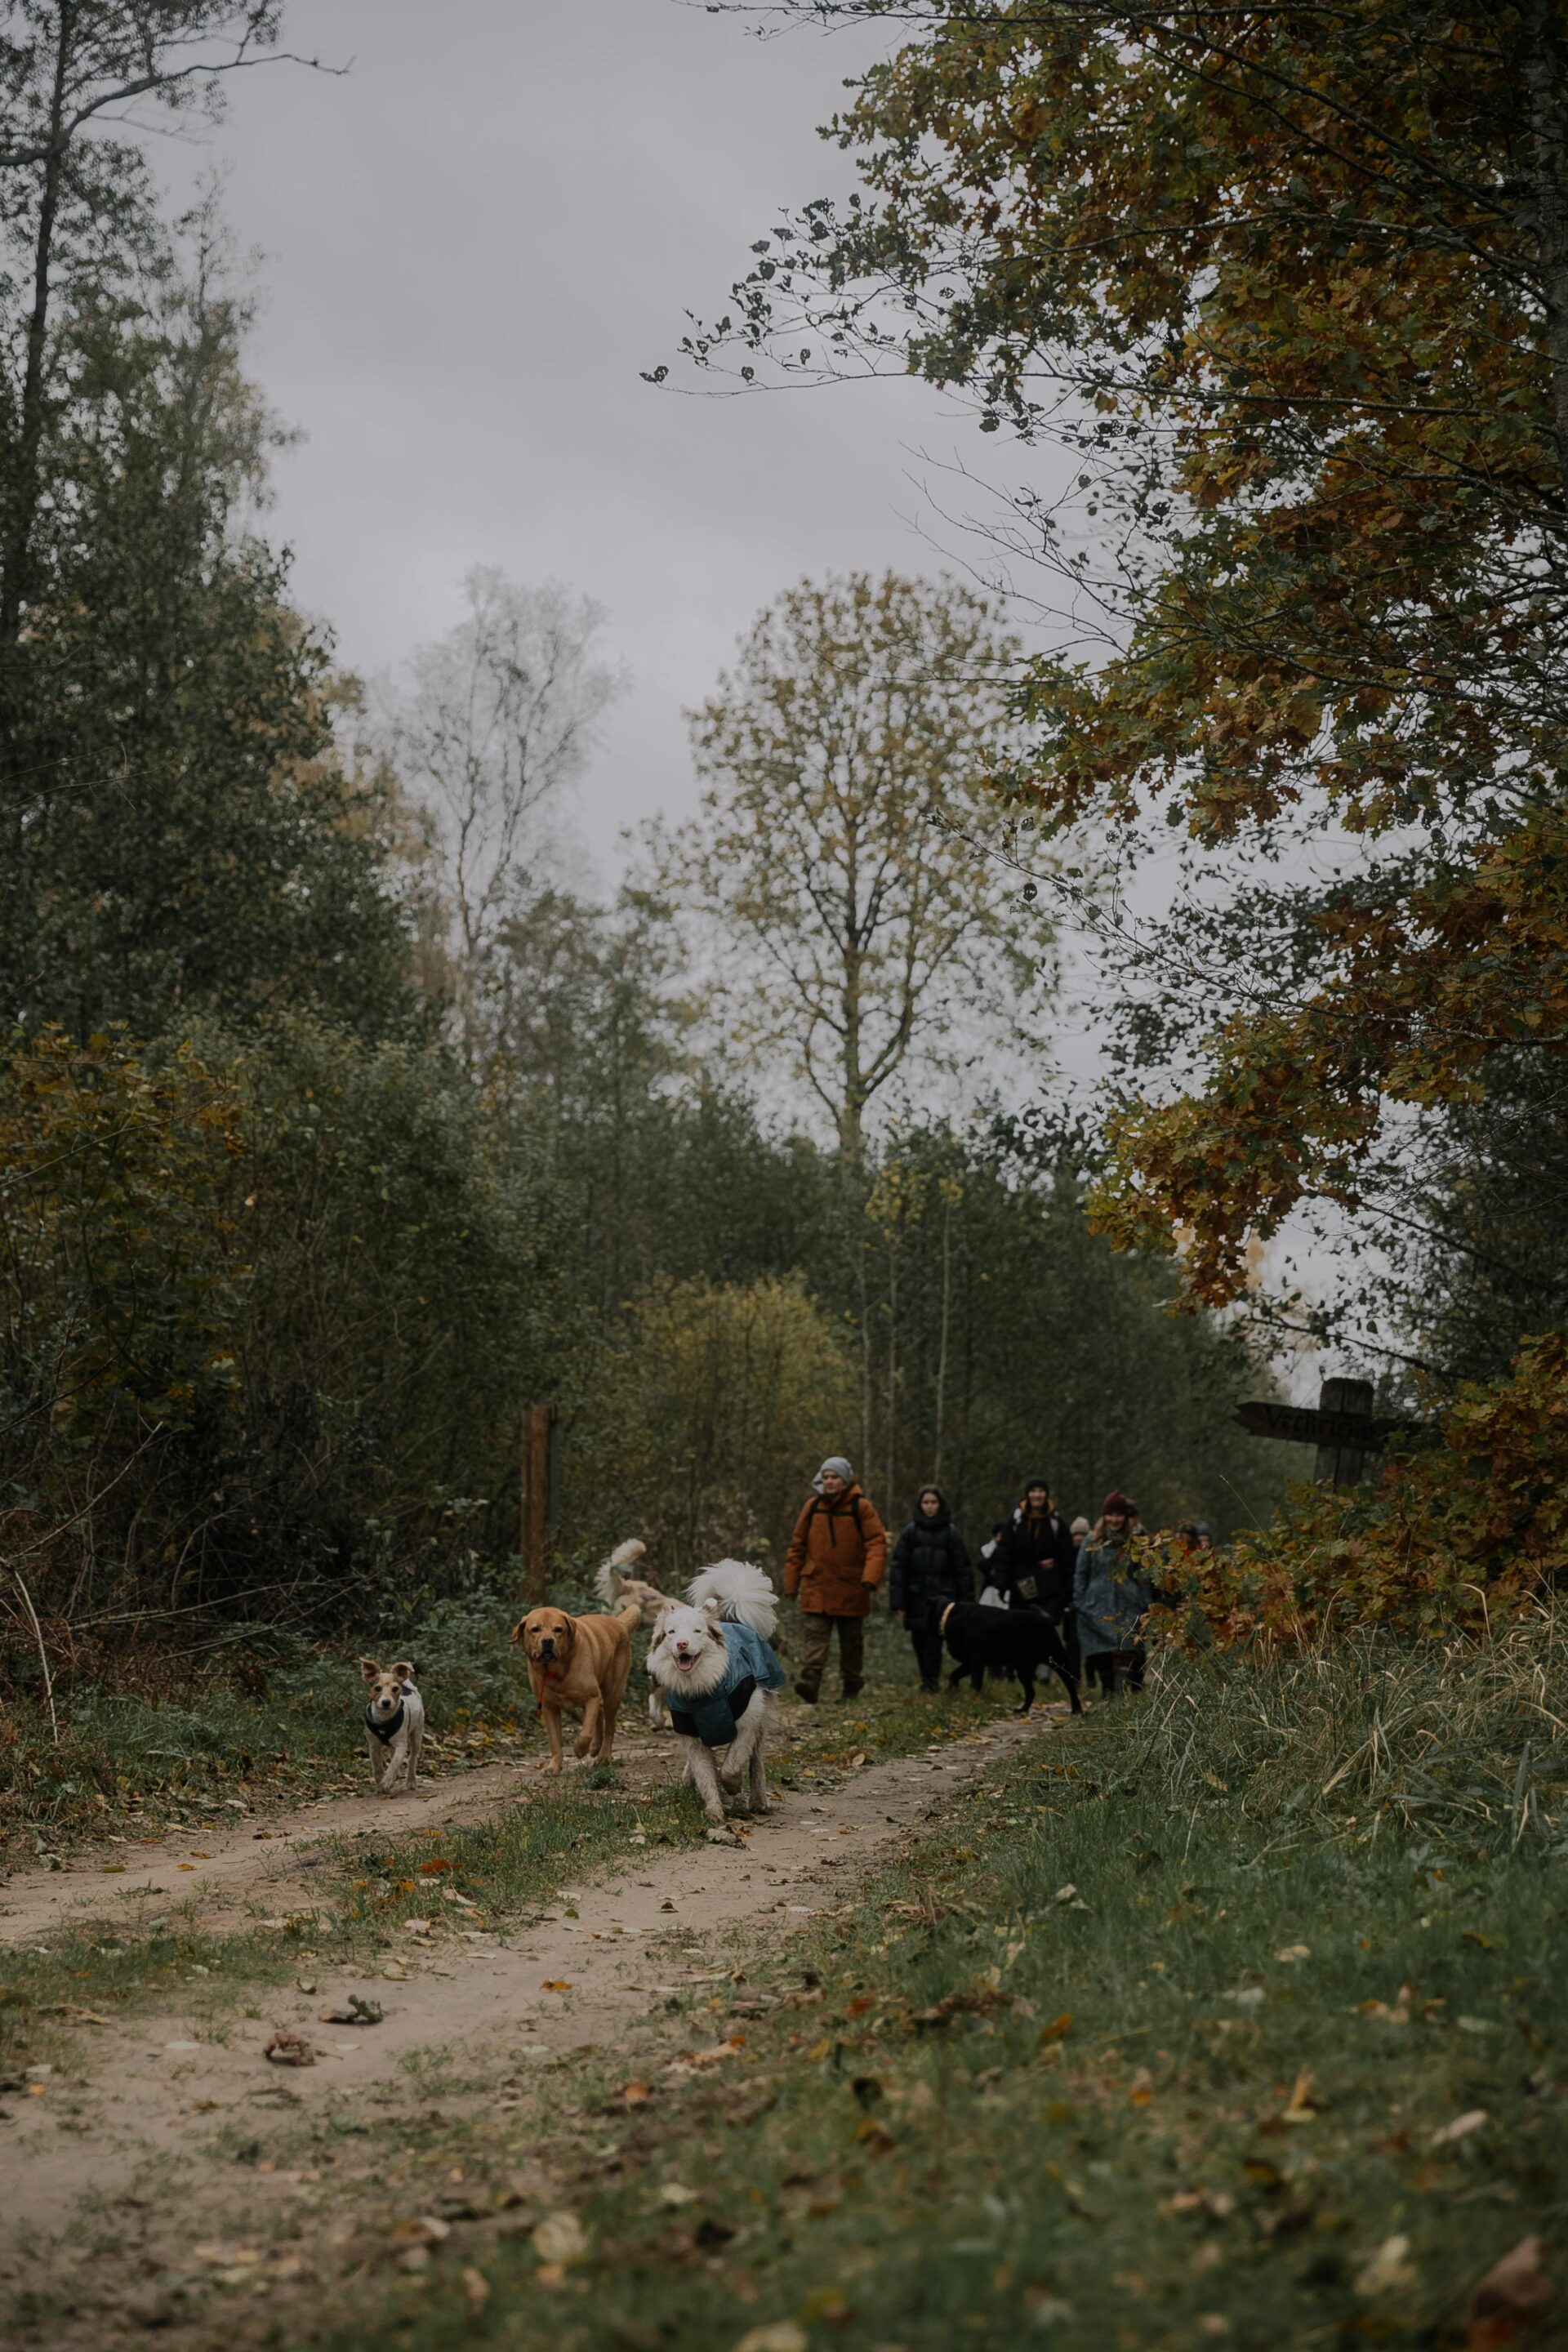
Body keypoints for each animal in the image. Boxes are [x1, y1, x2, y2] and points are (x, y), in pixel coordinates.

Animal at [359, 1665, 423, 1787]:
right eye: (377, 1688)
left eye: (395, 1689)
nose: (386, 1702)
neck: (384, 1719)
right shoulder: (373, 1744)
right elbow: (376, 1763)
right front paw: (380, 1778)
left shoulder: (401, 1745)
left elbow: (394, 1763)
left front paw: (386, 1781)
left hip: (417, 1734)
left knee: (412, 1758)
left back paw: (411, 1780)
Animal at [512, 1589, 639, 1768]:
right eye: (535, 1629)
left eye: (558, 1629)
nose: (547, 1641)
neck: (555, 1671)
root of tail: (619, 1623)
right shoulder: (550, 1707)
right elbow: (555, 1740)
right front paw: (554, 1766)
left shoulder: (592, 1696)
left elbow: (585, 1733)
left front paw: (579, 1749)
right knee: (599, 1713)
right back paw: (595, 1746)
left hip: (612, 1693)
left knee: (610, 1726)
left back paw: (603, 1755)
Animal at [945, 1599, 1081, 1712]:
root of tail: (1047, 1620)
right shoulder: (969, 1662)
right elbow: (954, 1676)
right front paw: (952, 1693)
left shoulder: (977, 1660)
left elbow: (975, 1683)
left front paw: (972, 1701)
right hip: (1024, 1669)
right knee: (1031, 1691)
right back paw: (1023, 1710)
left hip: (1057, 1661)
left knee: (1070, 1683)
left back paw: (1077, 1709)